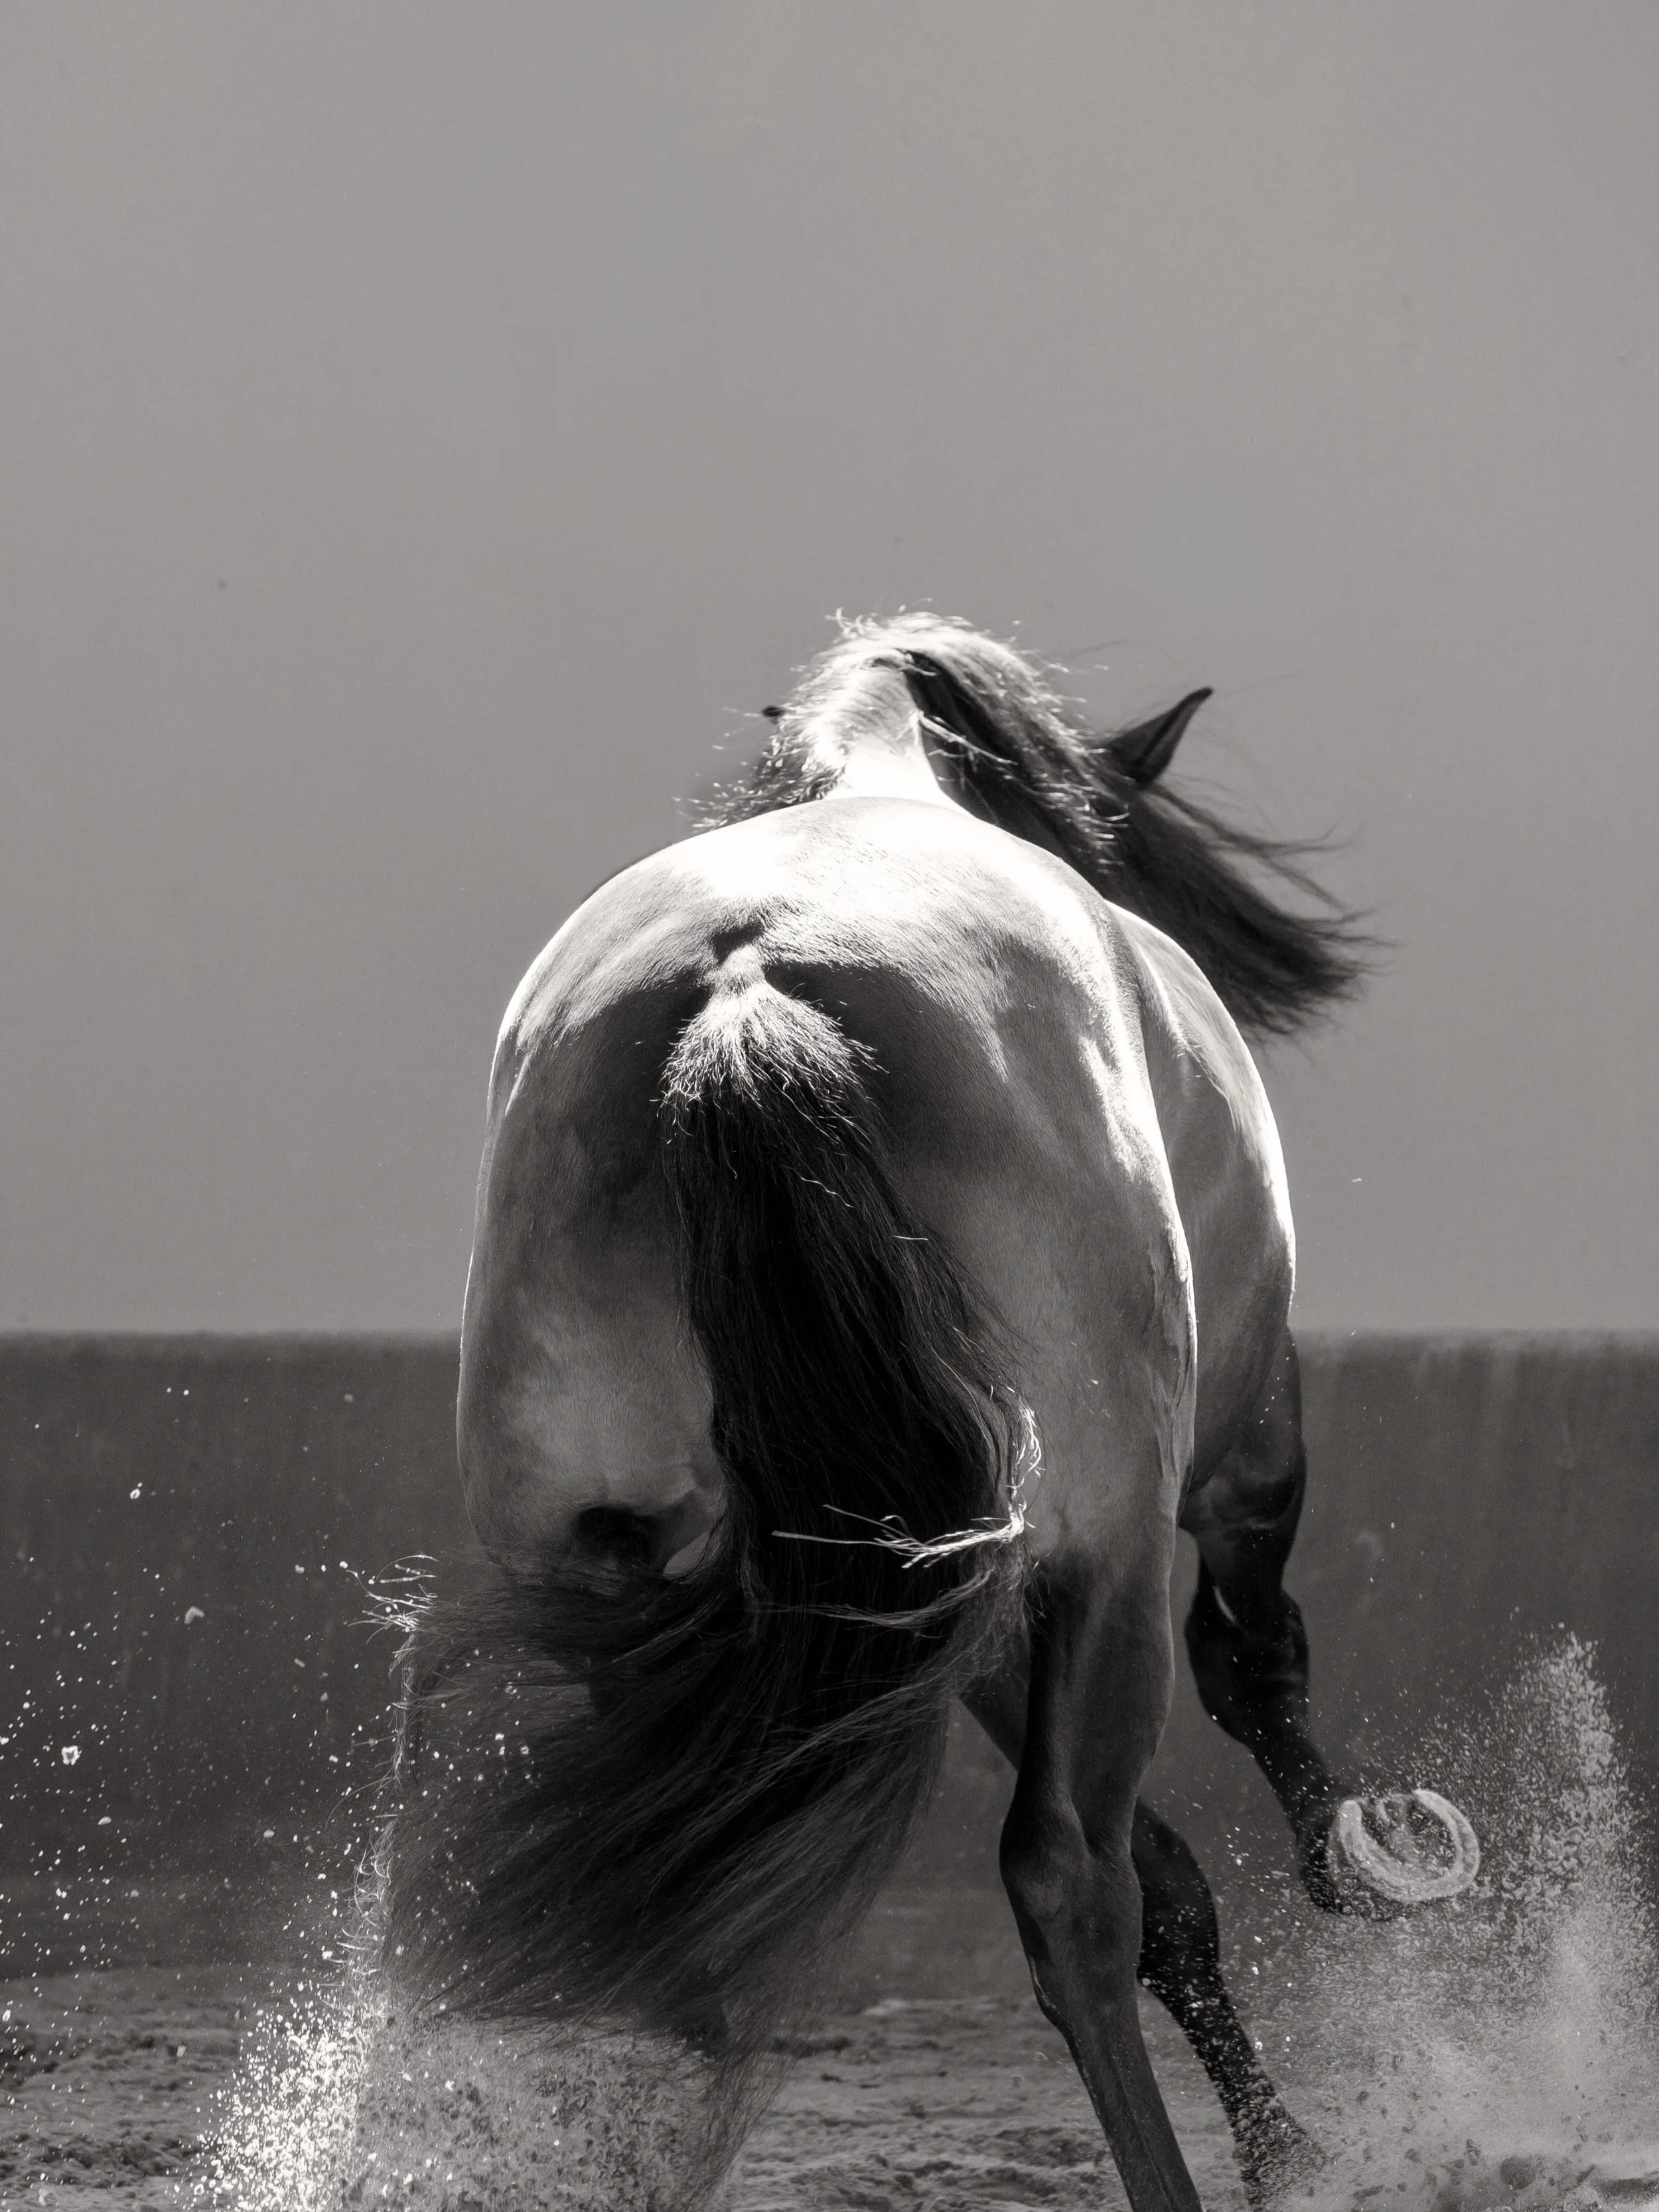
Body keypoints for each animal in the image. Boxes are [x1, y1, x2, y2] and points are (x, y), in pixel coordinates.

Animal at [381, 614, 1480, 2212]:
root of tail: (748, 991)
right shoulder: (1226, 1463)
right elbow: (1254, 1670)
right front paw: (1359, 1878)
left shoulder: (944, 1597)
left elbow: (1179, 1874)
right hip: (1103, 1562)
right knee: (1070, 1879)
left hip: (637, 1582)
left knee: (696, 1914)